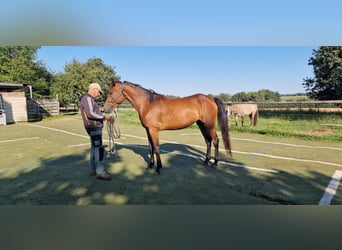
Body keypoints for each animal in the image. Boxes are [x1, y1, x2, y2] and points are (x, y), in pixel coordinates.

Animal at [104, 81, 232, 175]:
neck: (148, 104)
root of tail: (211, 98)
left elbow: (156, 148)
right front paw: (150, 165)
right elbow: (150, 148)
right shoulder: (148, 130)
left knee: (215, 141)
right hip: (201, 124)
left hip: (210, 125)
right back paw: (206, 161)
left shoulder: (154, 130)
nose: (105, 109)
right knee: (208, 141)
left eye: (110, 92)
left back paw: (215, 163)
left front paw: (158, 168)